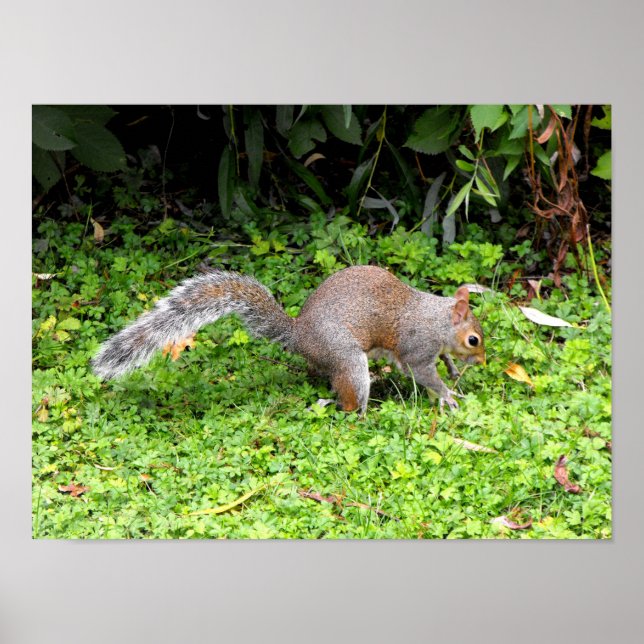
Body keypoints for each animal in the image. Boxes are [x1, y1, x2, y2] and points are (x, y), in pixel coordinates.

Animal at [91, 265, 486, 413]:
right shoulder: (417, 346)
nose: (483, 361)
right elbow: (421, 373)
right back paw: (360, 411)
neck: (437, 319)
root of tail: (299, 335)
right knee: (347, 399)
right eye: (474, 340)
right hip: (346, 358)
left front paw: (452, 371)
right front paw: (449, 395)